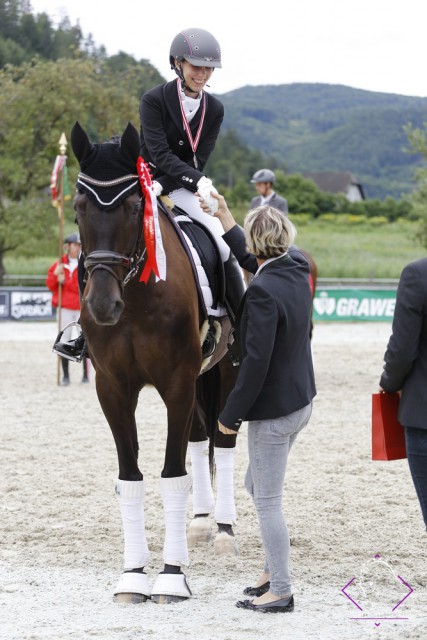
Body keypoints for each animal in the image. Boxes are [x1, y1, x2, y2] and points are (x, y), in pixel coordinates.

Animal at [70, 121, 237, 604]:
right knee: (200, 438)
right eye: (78, 207)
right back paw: (199, 524)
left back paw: (223, 529)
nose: (102, 305)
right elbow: (130, 477)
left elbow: (172, 474)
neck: (136, 296)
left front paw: (171, 577)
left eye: (132, 207)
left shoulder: (176, 383)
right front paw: (132, 576)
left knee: (224, 443)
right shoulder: (112, 388)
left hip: (225, 372)